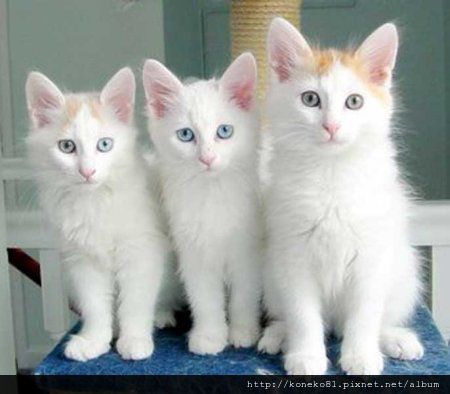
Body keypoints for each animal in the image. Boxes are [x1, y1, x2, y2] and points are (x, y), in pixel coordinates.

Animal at [26, 67, 173, 360]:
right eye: (67, 147)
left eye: (105, 145)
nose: (87, 171)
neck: (93, 202)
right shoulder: (83, 261)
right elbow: (94, 305)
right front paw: (94, 340)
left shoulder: (142, 252)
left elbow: (135, 302)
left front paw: (134, 339)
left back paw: (161, 315)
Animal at [143, 53, 264, 358]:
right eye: (186, 135)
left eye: (224, 131)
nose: (207, 158)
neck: (211, 195)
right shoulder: (194, 253)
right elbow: (205, 300)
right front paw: (210, 336)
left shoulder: (248, 252)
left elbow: (244, 296)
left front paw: (243, 331)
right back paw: (161, 314)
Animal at [258, 19, 424, 376]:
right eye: (310, 99)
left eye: (354, 102)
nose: (331, 126)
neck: (331, 172)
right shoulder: (294, 255)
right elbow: (303, 315)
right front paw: (306, 356)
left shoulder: (372, 256)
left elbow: (365, 314)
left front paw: (360, 356)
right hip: (271, 273)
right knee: (287, 315)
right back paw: (278, 335)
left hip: (403, 273)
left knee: (380, 318)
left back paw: (395, 339)